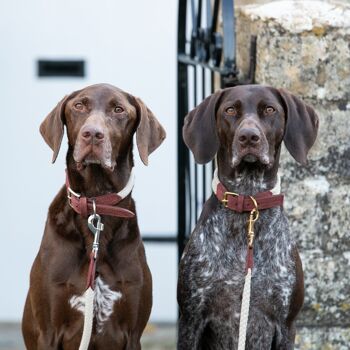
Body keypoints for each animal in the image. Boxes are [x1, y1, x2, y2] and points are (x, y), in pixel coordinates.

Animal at [22, 83, 166, 348]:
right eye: (79, 105)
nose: (92, 134)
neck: (96, 202)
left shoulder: (133, 333)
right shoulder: (48, 332)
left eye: (119, 109)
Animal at [179, 85, 318, 350]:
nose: (249, 137)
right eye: (230, 110)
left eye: (270, 109)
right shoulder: (191, 319)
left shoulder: (286, 325)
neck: (248, 198)